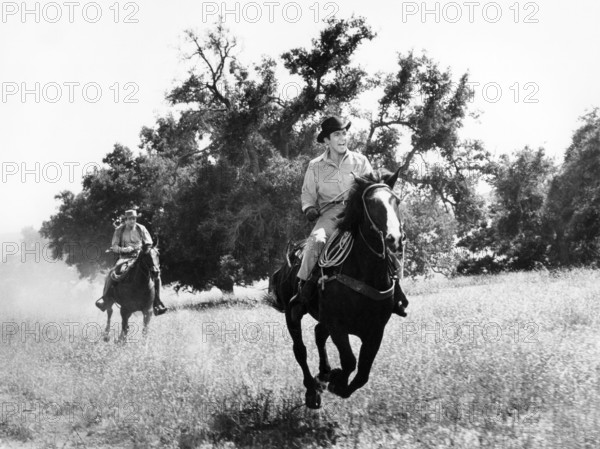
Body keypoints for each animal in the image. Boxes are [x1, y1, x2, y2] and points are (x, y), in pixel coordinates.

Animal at [270, 168, 404, 406]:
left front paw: (335, 380)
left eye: (395, 200)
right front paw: (336, 381)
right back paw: (312, 390)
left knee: (318, 334)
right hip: (292, 315)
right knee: (300, 350)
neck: (363, 273)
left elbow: (363, 373)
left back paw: (323, 373)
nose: (394, 238)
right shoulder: (337, 326)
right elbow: (350, 361)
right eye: (371, 203)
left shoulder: (375, 331)